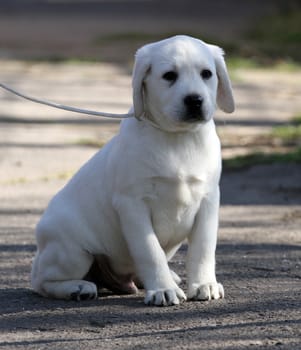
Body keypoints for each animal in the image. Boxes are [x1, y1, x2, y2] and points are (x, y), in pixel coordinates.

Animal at [32, 34, 234, 304]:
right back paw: (77, 287)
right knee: (41, 281)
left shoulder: (209, 200)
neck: (177, 138)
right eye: (169, 75)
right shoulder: (132, 204)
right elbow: (149, 250)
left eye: (207, 74)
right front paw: (163, 289)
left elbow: (203, 248)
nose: (194, 100)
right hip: (72, 252)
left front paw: (203, 284)